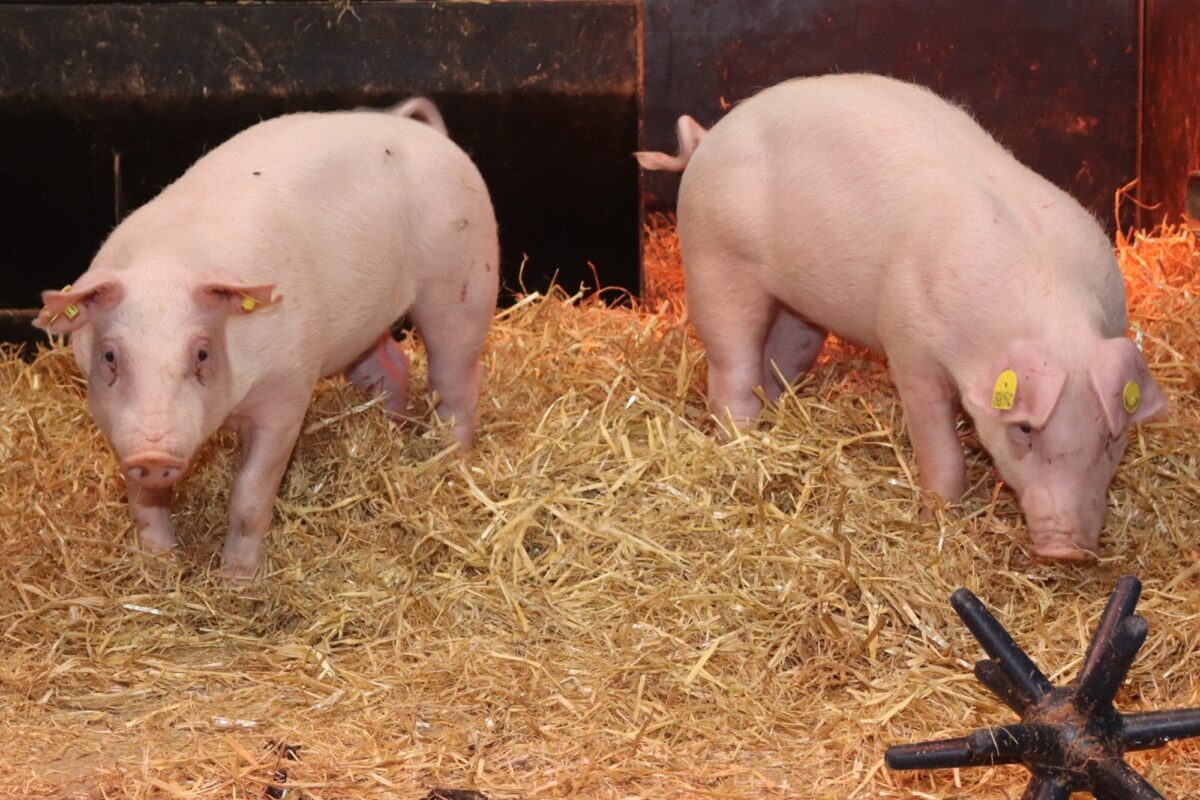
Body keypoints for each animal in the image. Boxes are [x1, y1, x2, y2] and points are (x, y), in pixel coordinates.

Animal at [35, 98, 499, 580]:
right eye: (110, 356)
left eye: (202, 352)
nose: (154, 456)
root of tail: (421, 130)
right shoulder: (114, 422)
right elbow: (144, 501)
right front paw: (159, 567)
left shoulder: (286, 395)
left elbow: (250, 493)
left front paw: (238, 580)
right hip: (367, 328)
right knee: (393, 366)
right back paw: (393, 429)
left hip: (464, 279)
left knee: (458, 379)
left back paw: (451, 456)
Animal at [636, 73, 1166, 561]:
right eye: (1024, 430)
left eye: (1112, 437)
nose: (1067, 550)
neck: (1048, 304)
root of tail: (708, 139)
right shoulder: (911, 347)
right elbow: (940, 449)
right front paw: (940, 518)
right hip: (715, 260)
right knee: (732, 365)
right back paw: (741, 443)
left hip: (796, 306)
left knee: (783, 355)